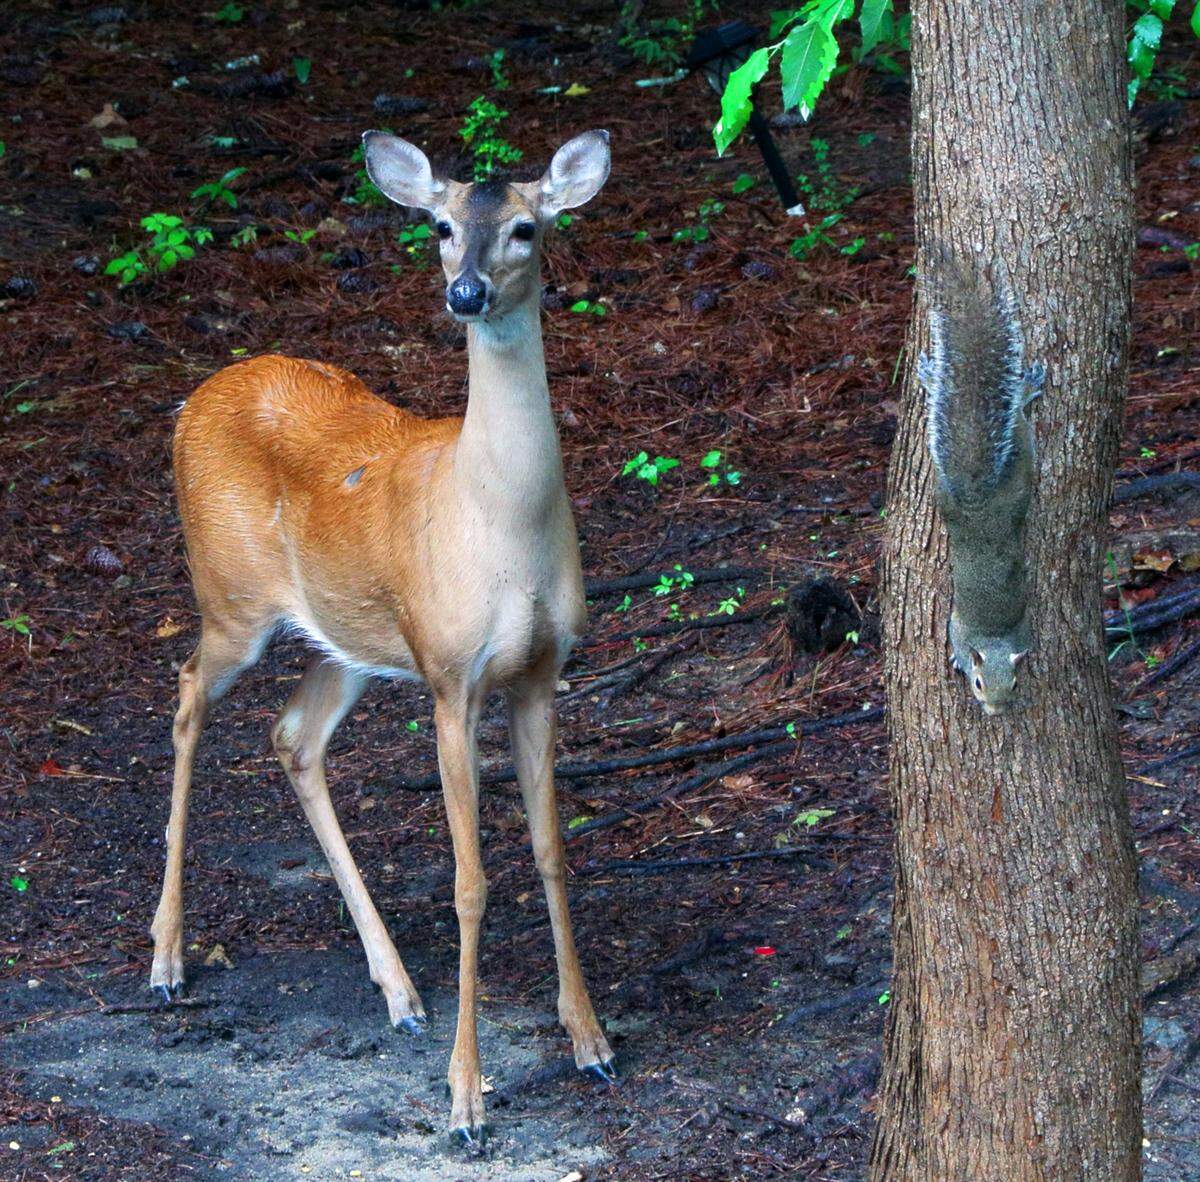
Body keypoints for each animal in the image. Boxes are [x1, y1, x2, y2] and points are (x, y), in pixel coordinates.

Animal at [148, 128, 616, 1144]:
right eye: (439, 227)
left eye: (526, 227)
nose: (465, 292)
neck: (501, 528)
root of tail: (195, 397)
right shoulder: (449, 674)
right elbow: (471, 882)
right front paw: (467, 1099)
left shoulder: (540, 673)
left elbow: (552, 853)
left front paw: (591, 1040)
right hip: (233, 599)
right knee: (187, 692)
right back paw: (165, 958)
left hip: (350, 639)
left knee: (292, 735)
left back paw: (397, 986)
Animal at [916, 250, 1044, 715]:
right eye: (976, 683)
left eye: (1014, 685)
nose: (994, 711)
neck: (994, 637)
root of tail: (976, 498)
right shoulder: (959, 629)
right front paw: (954, 657)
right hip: (974, 479)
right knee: (1019, 423)